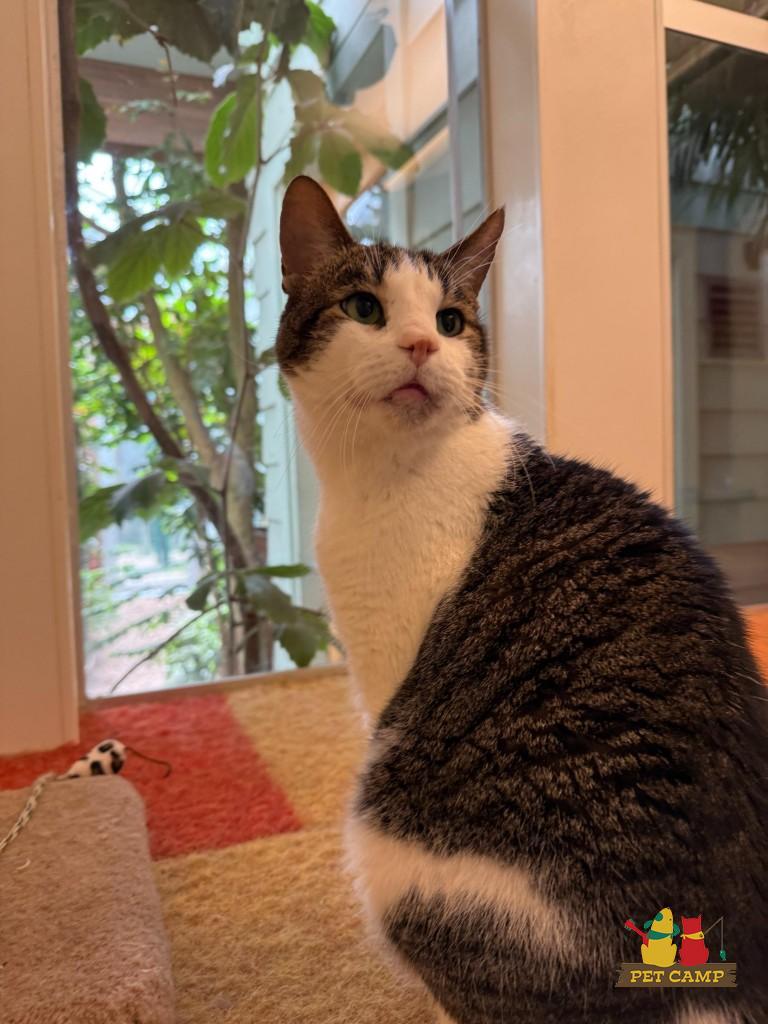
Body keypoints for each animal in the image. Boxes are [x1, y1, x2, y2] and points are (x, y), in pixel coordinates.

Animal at [275, 175, 768, 1024]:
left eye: (448, 321)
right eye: (365, 308)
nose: (421, 345)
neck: (384, 474)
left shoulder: (387, 675)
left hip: (393, 860)